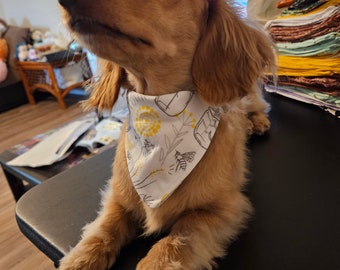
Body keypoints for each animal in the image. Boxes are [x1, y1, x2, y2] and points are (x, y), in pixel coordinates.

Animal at [57, 1, 274, 268]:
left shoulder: (224, 208)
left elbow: (172, 243)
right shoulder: (117, 198)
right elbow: (103, 229)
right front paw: (79, 259)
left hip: (249, 97)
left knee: (260, 106)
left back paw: (258, 122)